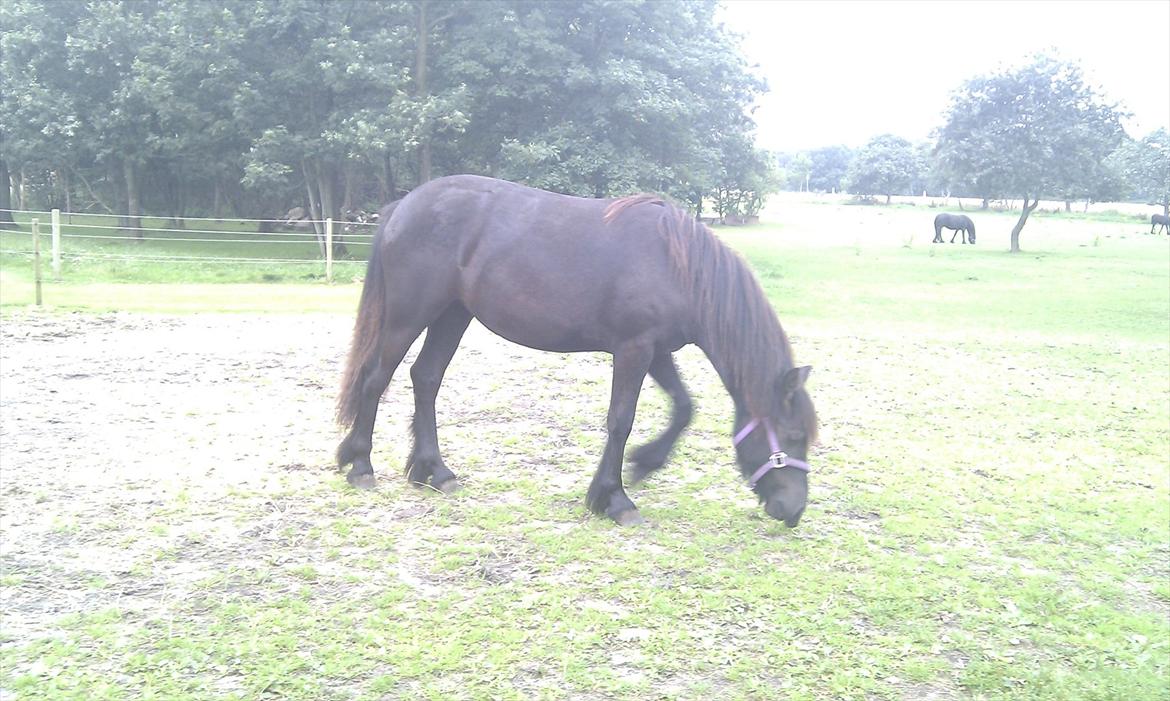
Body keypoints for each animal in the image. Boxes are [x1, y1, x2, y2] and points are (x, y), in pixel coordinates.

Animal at [336, 175, 817, 527]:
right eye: (793, 436)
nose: (794, 511)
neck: (677, 265)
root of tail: (402, 207)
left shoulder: (657, 349)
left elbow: (683, 408)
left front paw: (643, 464)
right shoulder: (634, 349)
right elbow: (621, 421)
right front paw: (615, 498)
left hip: (452, 316)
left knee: (426, 378)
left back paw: (434, 471)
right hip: (410, 315)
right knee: (377, 379)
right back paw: (361, 466)